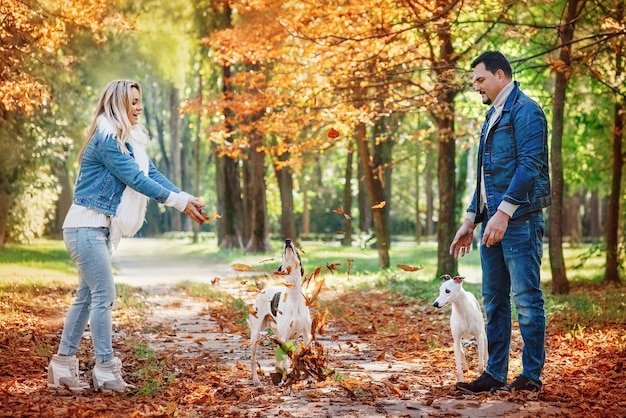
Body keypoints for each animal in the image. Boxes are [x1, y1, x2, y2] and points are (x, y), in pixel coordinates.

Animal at [246, 238, 310, 386]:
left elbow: (305, 357)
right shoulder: (285, 337)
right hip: (256, 335)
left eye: (297, 252)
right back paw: (256, 380)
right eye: (282, 253)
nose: (287, 240)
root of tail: (263, 291)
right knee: (253, 359)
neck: (293, 297)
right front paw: (286, 380)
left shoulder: (306, 335)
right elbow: (286, 360)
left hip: (277, 336)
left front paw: (309, 379)